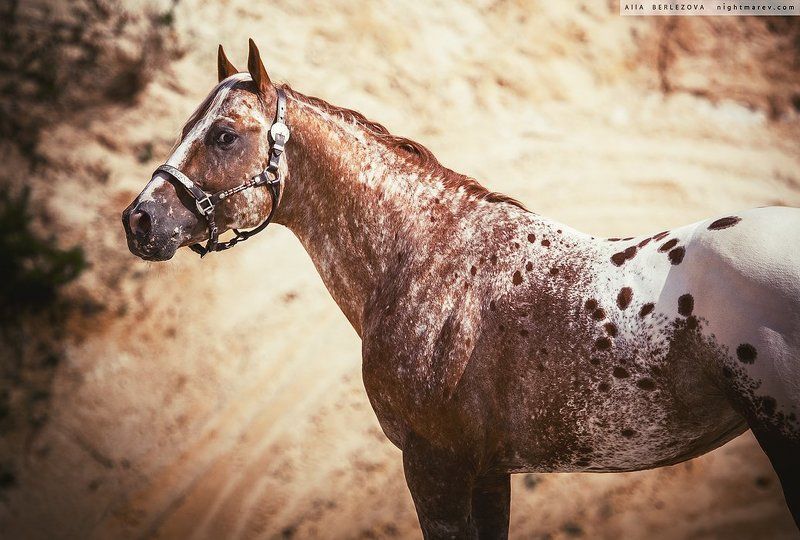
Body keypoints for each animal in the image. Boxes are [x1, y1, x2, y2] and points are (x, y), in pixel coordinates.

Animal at [122, 40, 800, 538]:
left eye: (224, 135)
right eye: (186, 126)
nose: (139, 220)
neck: (426, 259)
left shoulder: (436, 466)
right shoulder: (487, 473)